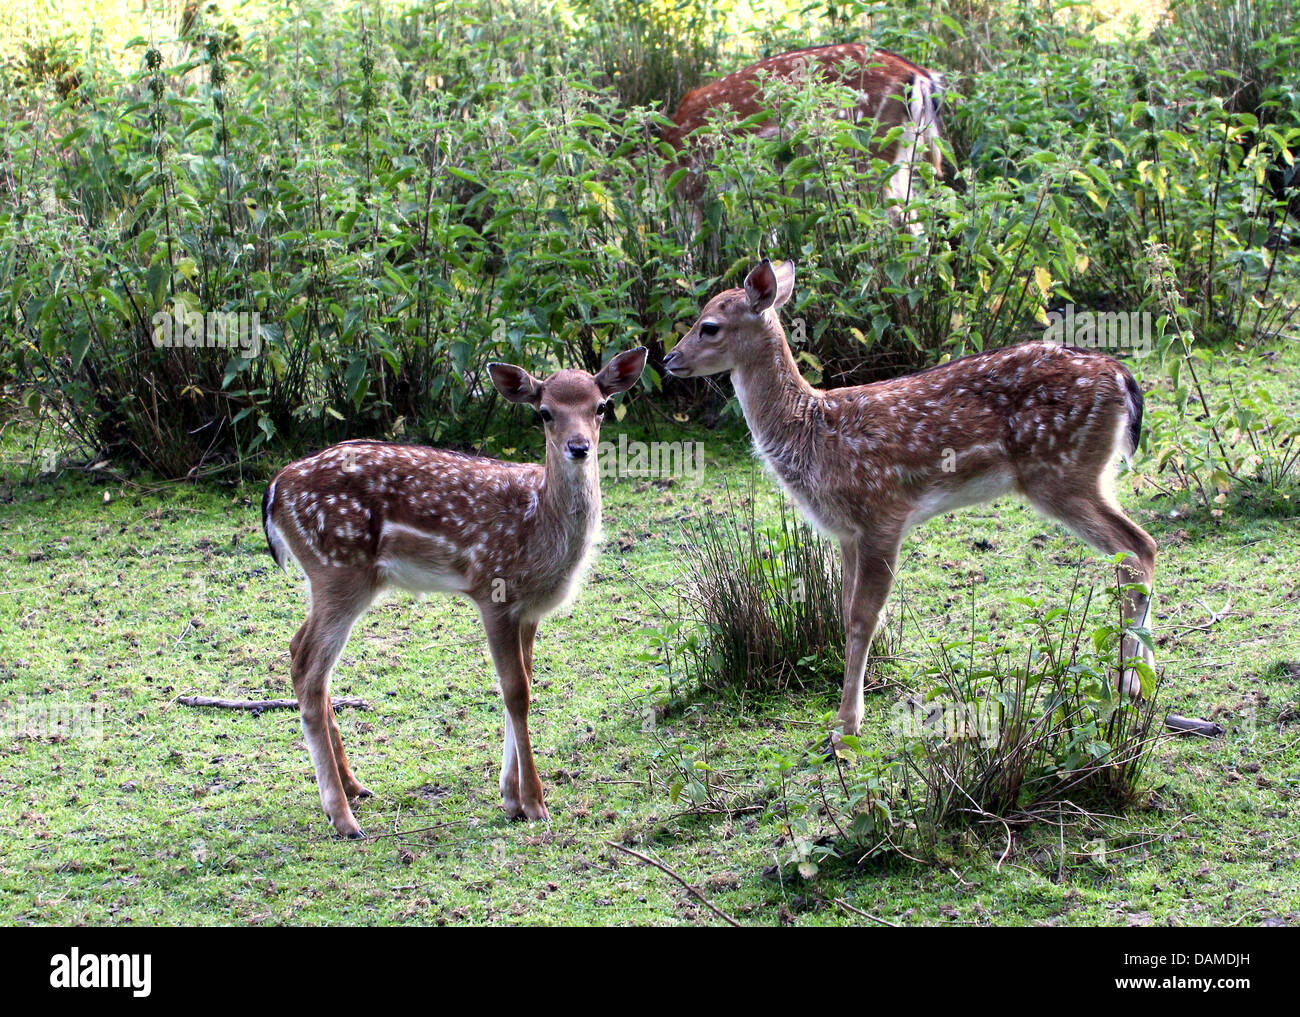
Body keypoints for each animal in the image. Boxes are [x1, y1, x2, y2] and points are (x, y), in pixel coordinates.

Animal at [263, 345, 650, 842]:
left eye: (600, 407)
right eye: (544, 412)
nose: (579, 447)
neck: (538, 523)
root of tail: (274, 490)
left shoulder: (529, 609)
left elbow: (523, 684)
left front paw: (510, 796)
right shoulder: (492, 589)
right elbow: (515, 691)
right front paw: (534, 803)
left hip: (331, 578)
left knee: (299, 651)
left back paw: (354, 787)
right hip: (338, 569)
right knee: (309, 668)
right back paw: (343, 818)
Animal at [670, 258, 1159, 743]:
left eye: (709, 326)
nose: (670, 359)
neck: (812, 434)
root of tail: (1123, 379)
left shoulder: (883, 513)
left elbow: (863, 618)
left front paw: (844, 727)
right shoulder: (846, 532)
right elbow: (844, 612)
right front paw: (845, 717)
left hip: (1062, 472)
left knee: (1137, 548)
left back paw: (1125, 681)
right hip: (1087, 474)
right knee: (1142, 548)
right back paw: (1141, 682)